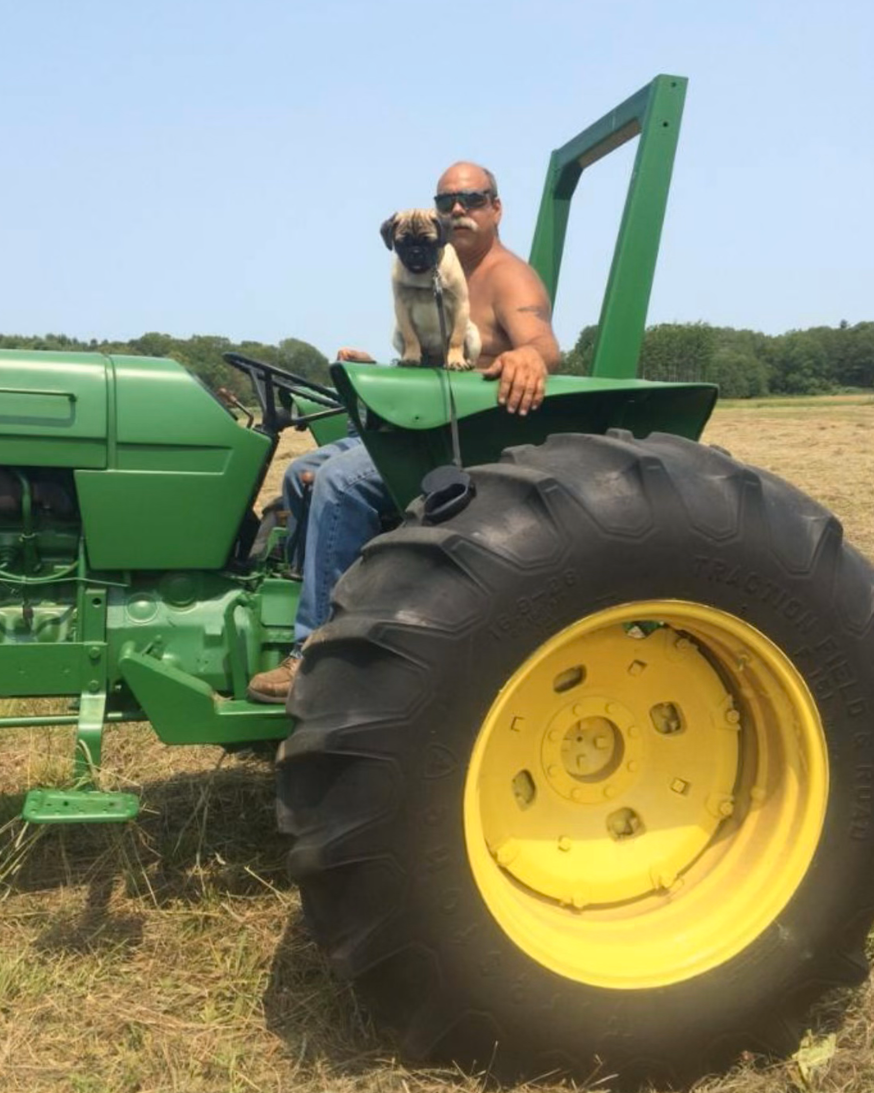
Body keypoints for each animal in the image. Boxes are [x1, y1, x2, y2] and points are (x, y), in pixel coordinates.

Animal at [378, 208, 480, 371]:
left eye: (430, 242)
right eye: (401, 243)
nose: (415, 251)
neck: (425, 273)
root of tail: (436, 360)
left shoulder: (459, 303)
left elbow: (456, 339)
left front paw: (455, 360)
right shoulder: (401, 306)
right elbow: (411, 337)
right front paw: (411, 357)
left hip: (472, 334)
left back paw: (467, 363)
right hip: (397, 334)